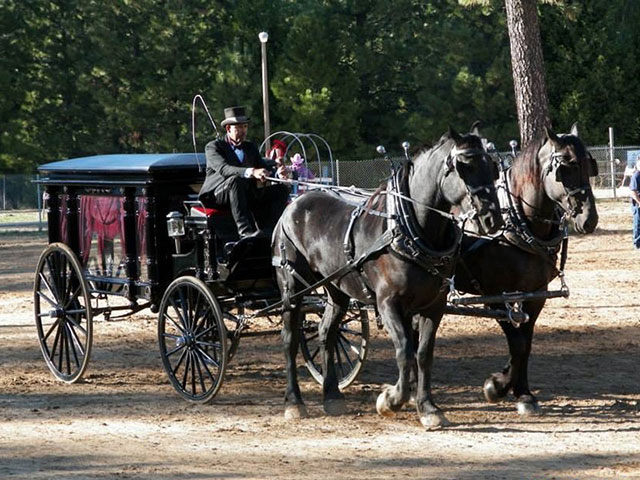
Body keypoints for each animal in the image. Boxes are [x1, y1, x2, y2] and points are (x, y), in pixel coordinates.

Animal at [272, 128, 502, 428]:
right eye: (464, 166)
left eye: (492, 166)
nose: (492, 218)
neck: (409, 229)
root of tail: (293, 205)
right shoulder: (388, 303)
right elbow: (404, 350)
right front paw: (391, 400)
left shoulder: (433, 305)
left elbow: (423, 354)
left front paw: (428, 407)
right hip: (293, 289)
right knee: (289, 340)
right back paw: (294, 402)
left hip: (335, 289)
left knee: (326, 333)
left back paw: (332, 395)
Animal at [452, 125, 596, 414]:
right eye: (567, 167)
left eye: (589, 165)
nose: (590, 219)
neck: (517, 222)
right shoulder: (494, 295)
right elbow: (517, 342)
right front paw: (498, 386)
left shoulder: (535, 293)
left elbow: (525, 342)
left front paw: (522, 391)